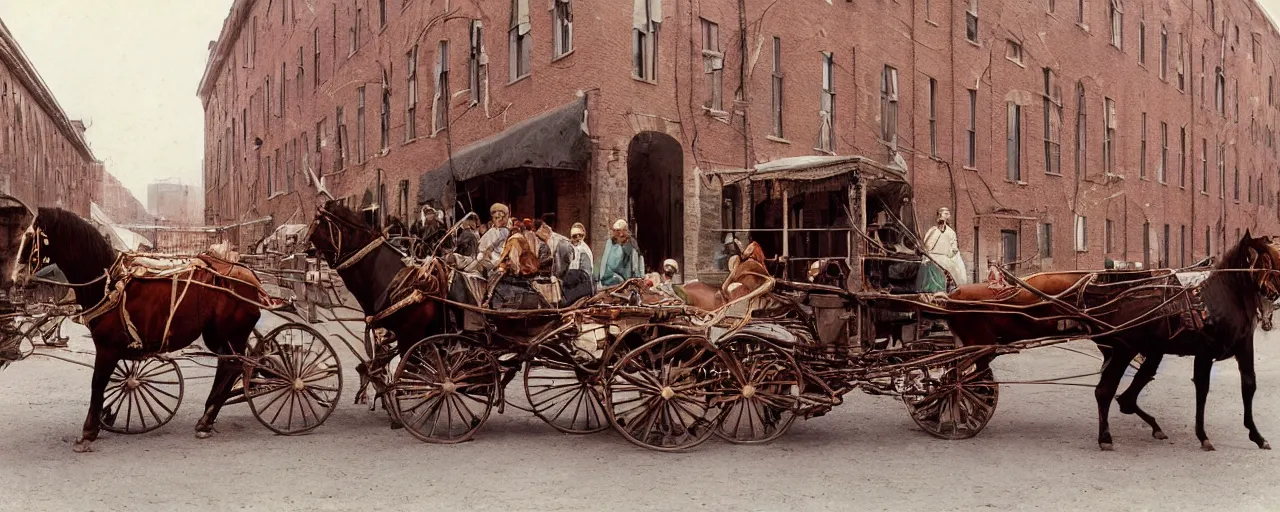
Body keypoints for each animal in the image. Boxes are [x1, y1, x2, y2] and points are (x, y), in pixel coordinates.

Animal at [9, 207, 264, 453]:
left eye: (30, 238)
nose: (15, 278)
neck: (109, 284)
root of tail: (251, 278)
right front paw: (104, 417)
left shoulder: (107, 349)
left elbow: (97, 384)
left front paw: (88, 432)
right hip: (217, 336)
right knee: (226, 366)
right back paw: (207, 416)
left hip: (231, 335)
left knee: (234, 366)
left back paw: (208, 417)